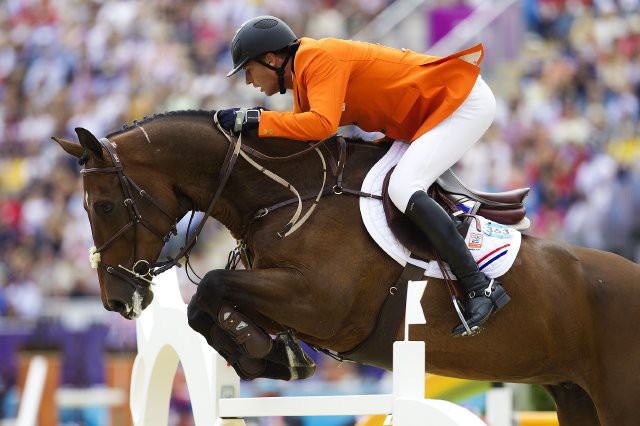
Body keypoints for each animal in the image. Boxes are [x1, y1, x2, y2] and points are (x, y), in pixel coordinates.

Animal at [53, 110, 640, 426]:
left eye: (104, 206)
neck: (284, 195)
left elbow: (210, 289)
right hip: (575, 396)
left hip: (617, 399)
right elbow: (211, 305)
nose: (117, 299)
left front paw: (268, 354)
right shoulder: (283, 295)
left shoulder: (322, 305)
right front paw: (271, 354)